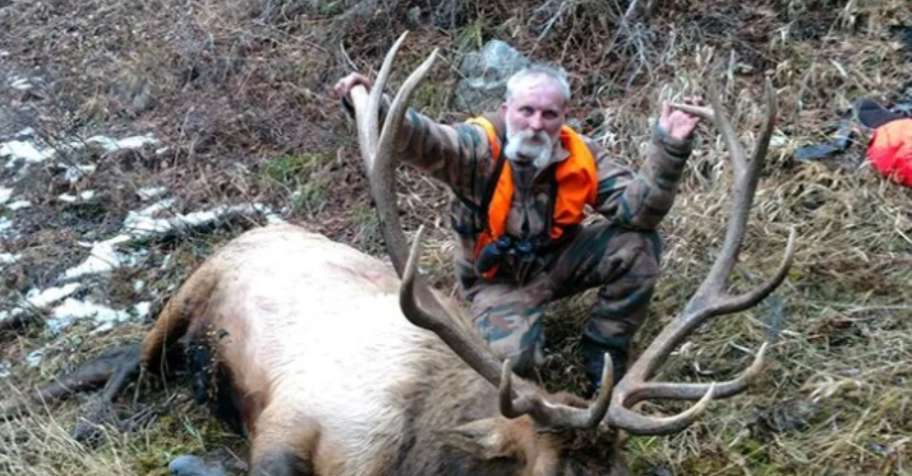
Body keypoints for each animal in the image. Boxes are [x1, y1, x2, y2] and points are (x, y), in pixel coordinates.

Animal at [2, 33, 795, 476]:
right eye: (553, 475)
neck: (413, 449)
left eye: (623, 468)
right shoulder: (289, 422)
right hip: (196, 281)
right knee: (127, 360)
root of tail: (262, 225)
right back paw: (76, 416)